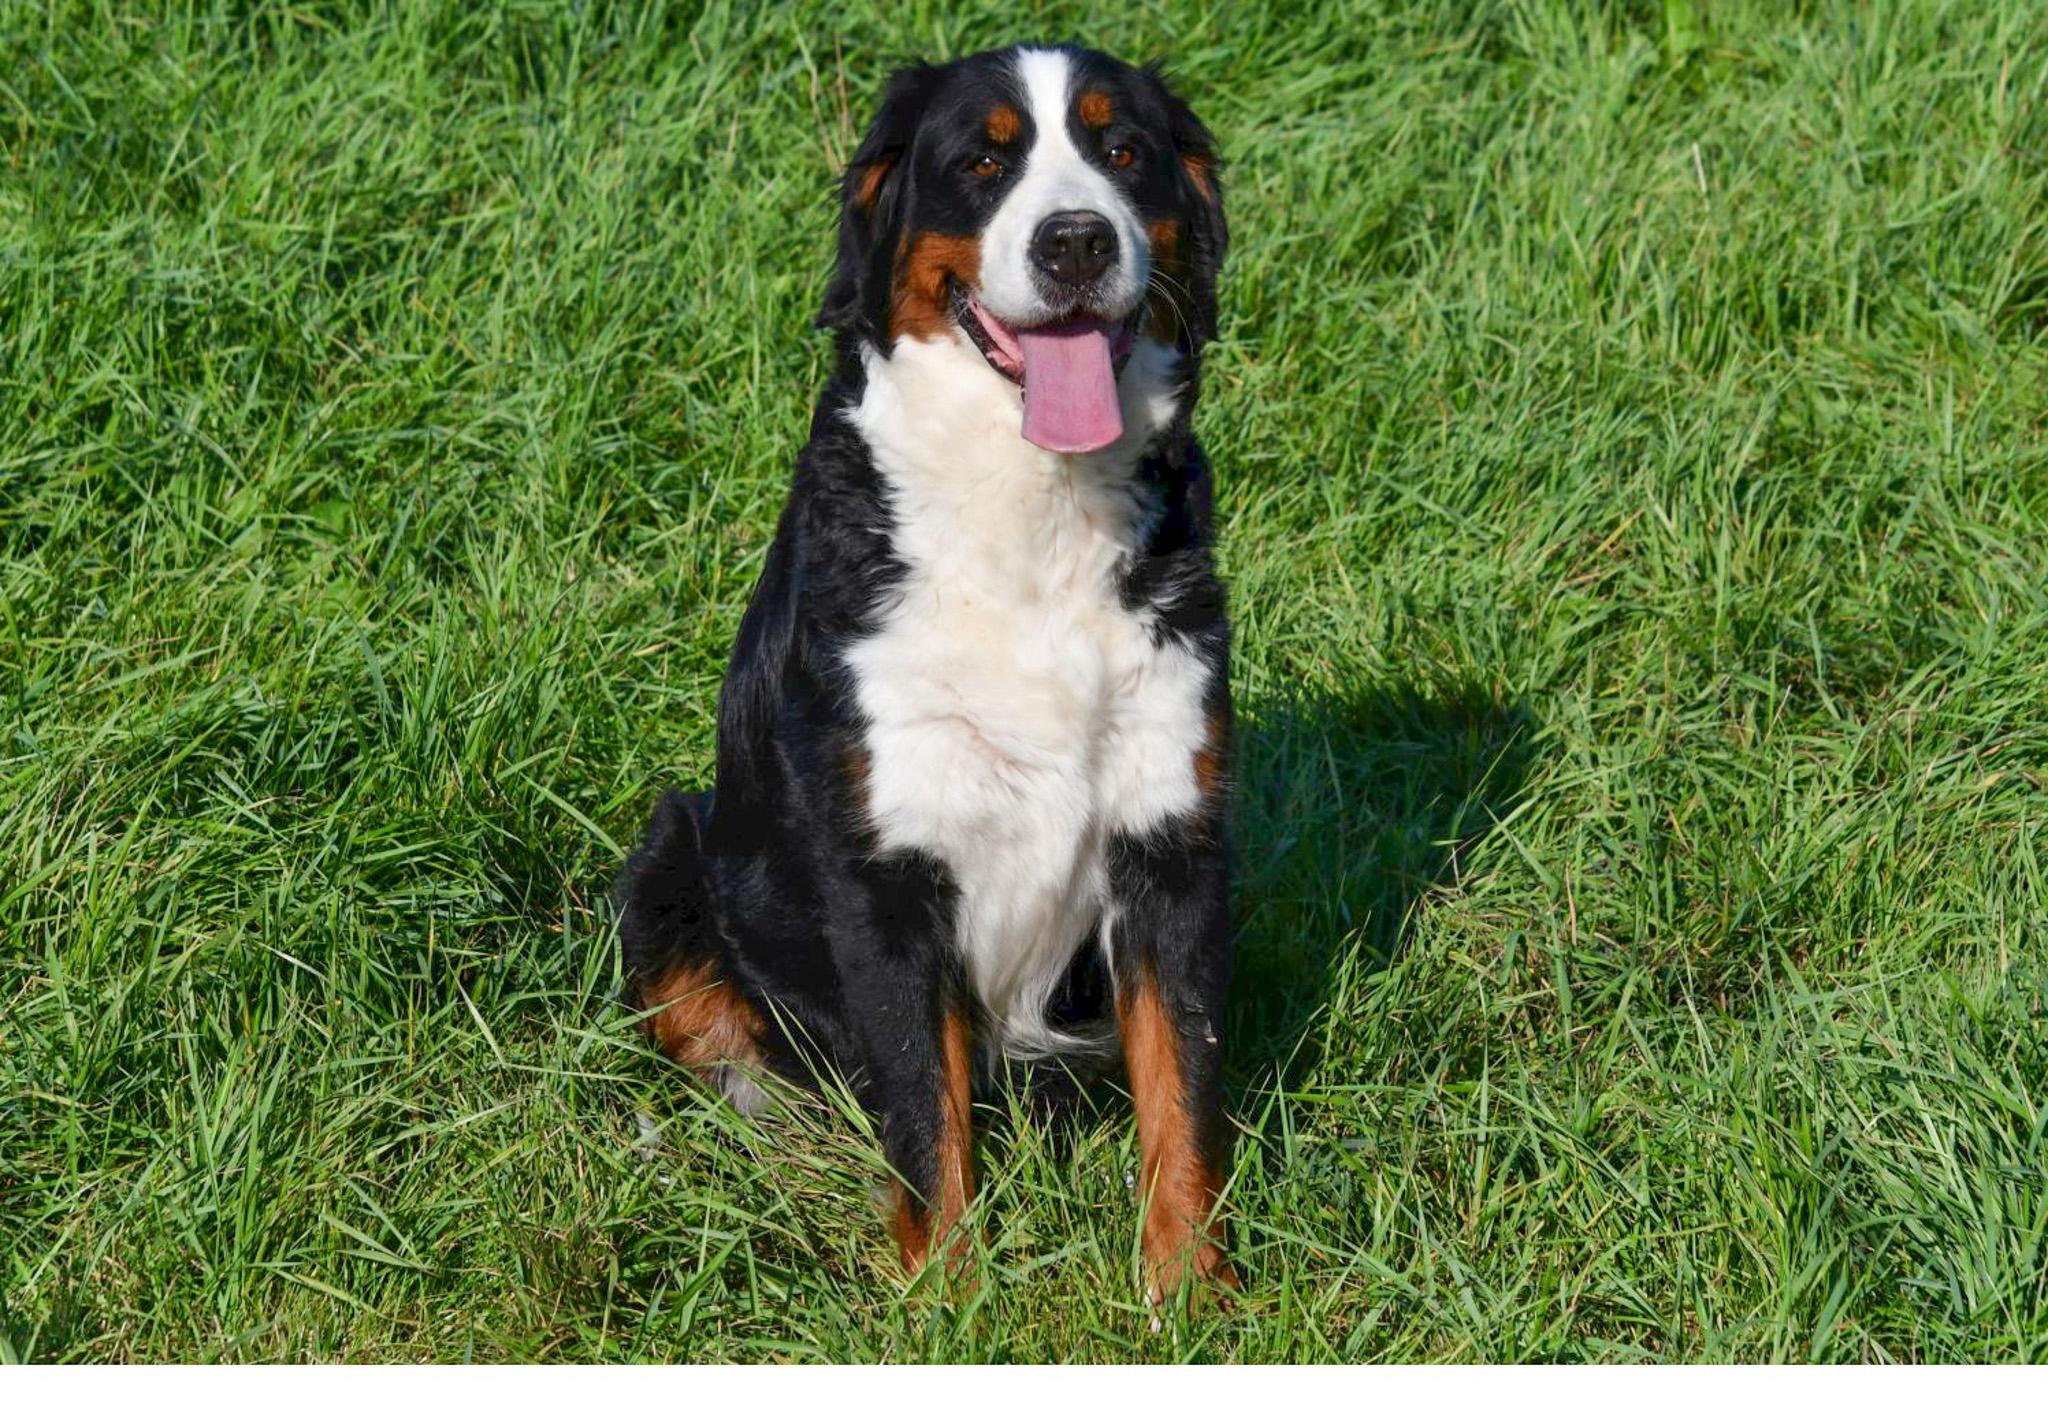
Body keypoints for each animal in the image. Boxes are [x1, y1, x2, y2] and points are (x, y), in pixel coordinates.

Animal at [616, 43, 1234, 1299]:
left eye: (1122, 150)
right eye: (982, 161)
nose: (1073, 241)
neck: (1033, 514)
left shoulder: (1170, 840)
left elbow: (1181, 1088)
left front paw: (1189, 1294)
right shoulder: (885, 865)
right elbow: (920, 1106)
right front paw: (945, 1300)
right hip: (672, 851)